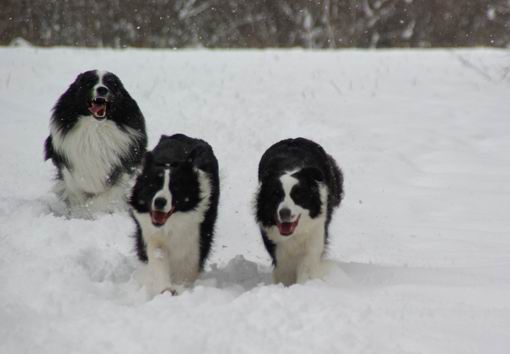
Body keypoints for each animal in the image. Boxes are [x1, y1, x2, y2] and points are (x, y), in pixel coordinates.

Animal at [43, 70, 147, 216]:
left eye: (111, 84)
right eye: (89, 82)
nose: (102, 89)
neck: (95, 129)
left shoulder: (122, 170)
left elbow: (103, 199)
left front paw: (90, 211)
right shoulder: (68, 169)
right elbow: (75, 193)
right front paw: (79, 213)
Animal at [129, 134, 219, 294]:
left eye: (175, 187)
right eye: (152, 185)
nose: (160, 202)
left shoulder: (194, 235)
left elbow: (187, 265)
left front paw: (181, 286)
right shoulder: (152, 233)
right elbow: (158, 256)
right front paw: (166, 288)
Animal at [254, 137, 342, 286]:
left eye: (298, 196)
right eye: (276, 195)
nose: (284, 213)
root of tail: (294, 139)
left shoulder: (315, 232)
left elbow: (307, 264)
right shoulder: (276, 244)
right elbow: (284, 269)